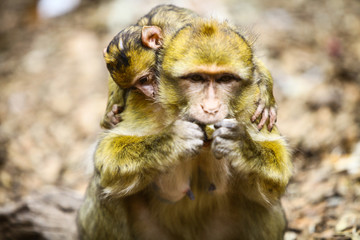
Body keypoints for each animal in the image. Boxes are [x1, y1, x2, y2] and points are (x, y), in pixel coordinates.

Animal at [77, 17, 292, 240]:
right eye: (197, 78)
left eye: (225, 79)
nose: (210, 108)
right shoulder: (141, 102)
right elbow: (107, 155)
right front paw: (175, 139)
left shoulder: (252, 104)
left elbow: (279, 172)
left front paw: (239, 144)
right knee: (105, 189)